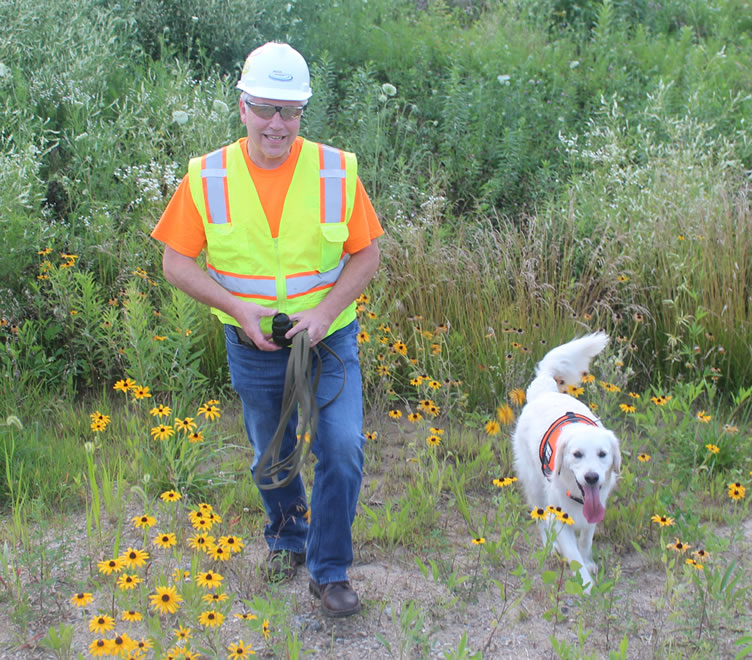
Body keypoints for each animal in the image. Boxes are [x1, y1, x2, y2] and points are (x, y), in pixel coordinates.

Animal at [512, 332, 624, 592]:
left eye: (602, 454)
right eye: (577, 454)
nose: (592, 477)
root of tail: (544, 390)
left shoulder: (596, 508)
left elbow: (586, 541)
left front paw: (589, 562)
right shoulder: (560, 518)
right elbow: (573, 556)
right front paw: (587, 586)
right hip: (535, 486)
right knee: (540, 518)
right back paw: (549, 547)